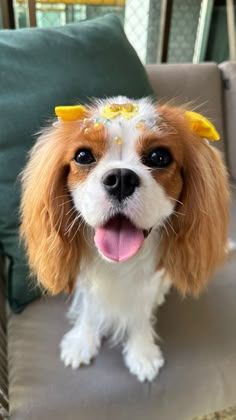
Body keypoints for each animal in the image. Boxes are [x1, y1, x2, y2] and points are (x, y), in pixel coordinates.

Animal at [21, 97, 230, 382]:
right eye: (83, 156)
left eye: (159, 157)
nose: (120, 178)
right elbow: (90, 311)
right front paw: (82, 342)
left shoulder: (148, 285)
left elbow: (140, 316)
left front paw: (142, 353)